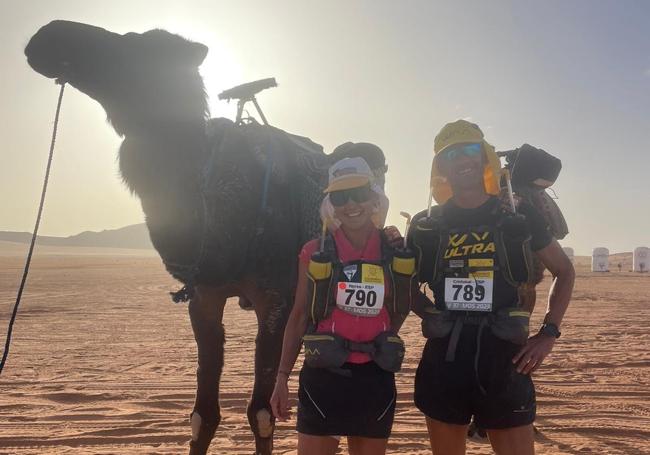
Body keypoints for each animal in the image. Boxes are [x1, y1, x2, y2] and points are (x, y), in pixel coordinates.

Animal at [24, 20, 330, 455]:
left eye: (135, 46)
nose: (48, 35)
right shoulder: (204, 298)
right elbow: (203, 415)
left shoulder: (276, 298)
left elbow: (262, 412)